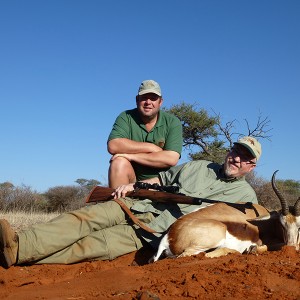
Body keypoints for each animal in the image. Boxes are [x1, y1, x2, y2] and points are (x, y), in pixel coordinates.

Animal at [151, 170, 300, 262]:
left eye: (299, 226)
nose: (290, 248)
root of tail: (169, 235)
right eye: (282, 224)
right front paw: (252, 249)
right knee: (201, 255)